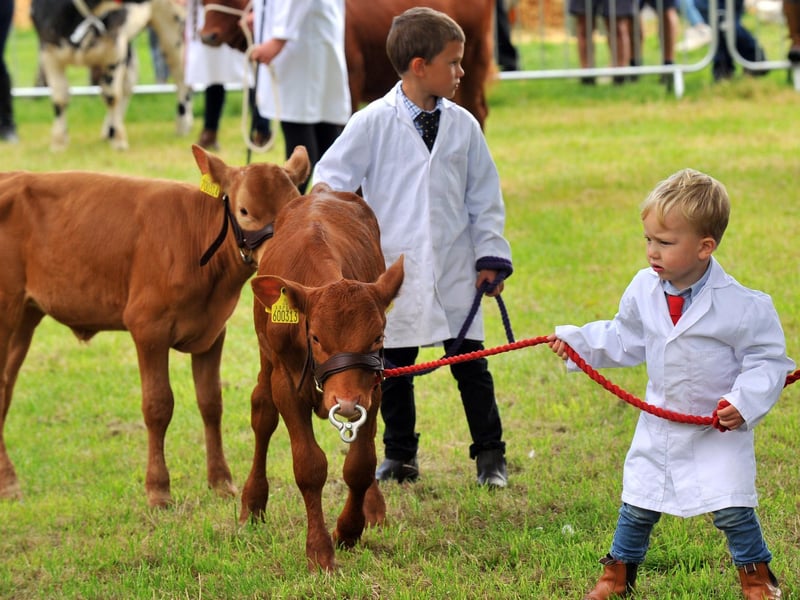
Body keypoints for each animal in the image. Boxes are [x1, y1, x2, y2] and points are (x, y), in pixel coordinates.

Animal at [0, 145, 311, 508]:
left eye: (294, 206)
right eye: (245, 210)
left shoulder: (213, 332)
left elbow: (211, 403)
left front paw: (221, 481)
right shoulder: (148, 327)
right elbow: (158, 405)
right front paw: (158, 490)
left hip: (25, 316)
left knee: (5, 387)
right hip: (6, 310)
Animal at [31, 0, 193, 151]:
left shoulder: (114, 50)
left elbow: (111, 96)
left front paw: (119, 140)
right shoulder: (49, 52)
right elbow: (60, 98)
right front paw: (58, 142)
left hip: (174, 28)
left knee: (182, 79)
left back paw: (183, 125)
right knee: (129, 85)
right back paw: (108, 131)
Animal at [240, 184, 404, 571]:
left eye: (378, 336)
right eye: (315, 337)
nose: (344, 403)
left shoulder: (371, 388)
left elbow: (361, 464)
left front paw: (348, 530)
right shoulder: (286, 384)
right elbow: (310, 466)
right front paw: (318, 550)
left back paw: (374, 506)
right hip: (267, 363)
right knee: (262, 414)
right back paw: (252, 502)